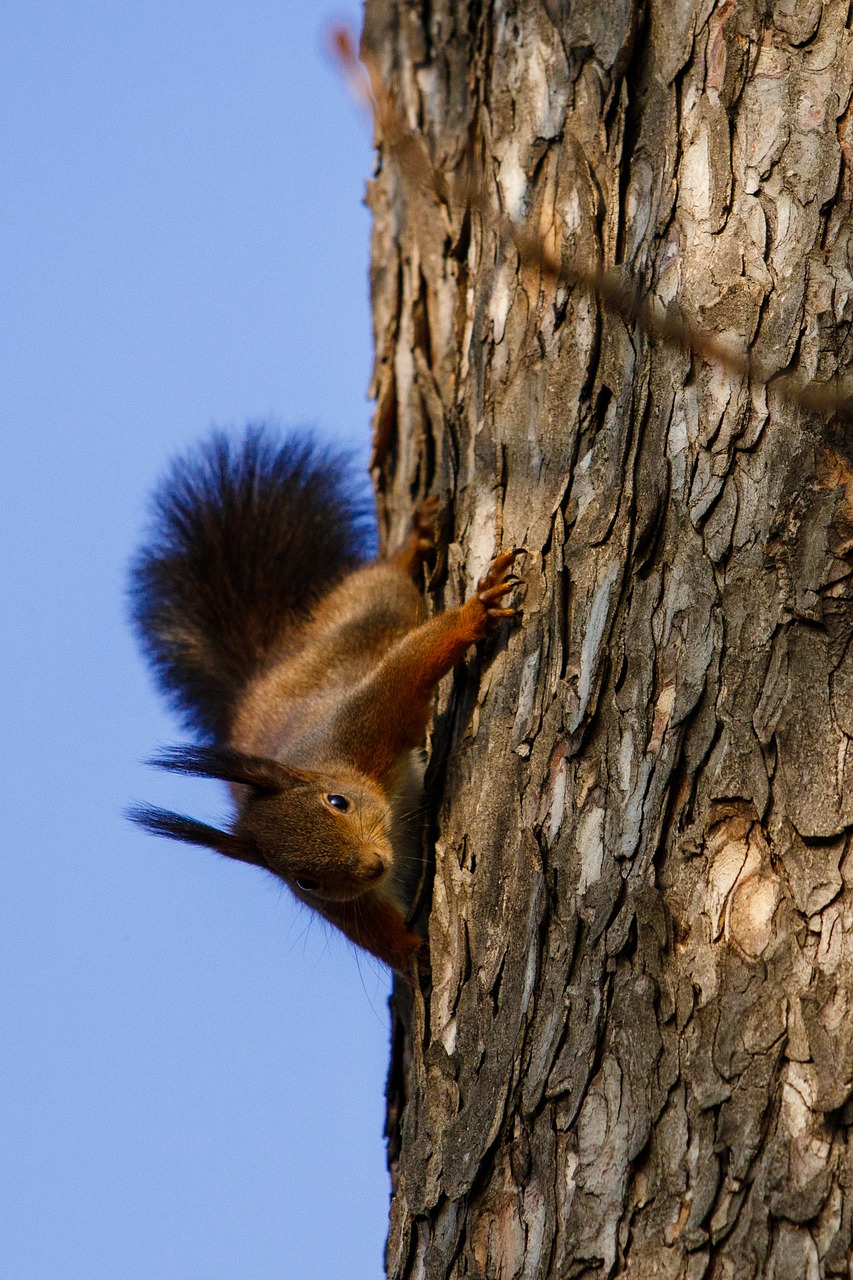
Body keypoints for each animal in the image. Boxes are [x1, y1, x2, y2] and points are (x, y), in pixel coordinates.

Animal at [128, 424, 522, 972]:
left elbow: (414, 661)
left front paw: (476, 611)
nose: (373, 866)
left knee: (384, 577)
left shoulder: (365, 720)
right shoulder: (348, 907)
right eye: (305, 881)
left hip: (370, 607)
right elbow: (381, 936)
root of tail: (275, 659)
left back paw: (414, 540)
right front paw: (415, 956)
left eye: (338, 802)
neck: (326, 763)